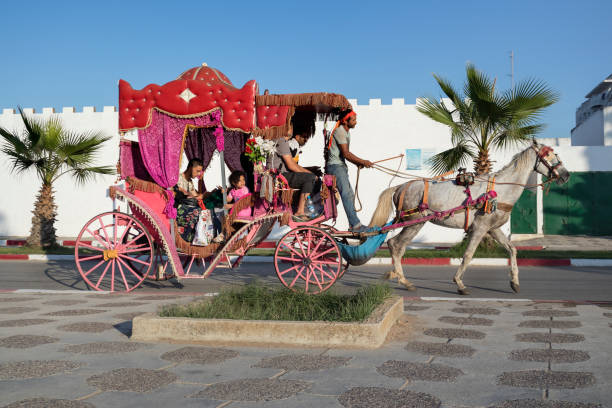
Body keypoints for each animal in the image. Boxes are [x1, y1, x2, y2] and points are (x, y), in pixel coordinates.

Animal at [366, 142, 572, 294]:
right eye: (549, 155)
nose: (566, 175)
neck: (501, 190)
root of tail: (401, 187)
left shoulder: (493, 229)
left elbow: (512, 250)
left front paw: (514, 282)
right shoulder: (480, 228)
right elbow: (468, 254)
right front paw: (459, 283)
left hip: (414, 223)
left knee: (396, 245)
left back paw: (401, 279)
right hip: (414, 222)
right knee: (396, 245)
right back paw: (402, 279)